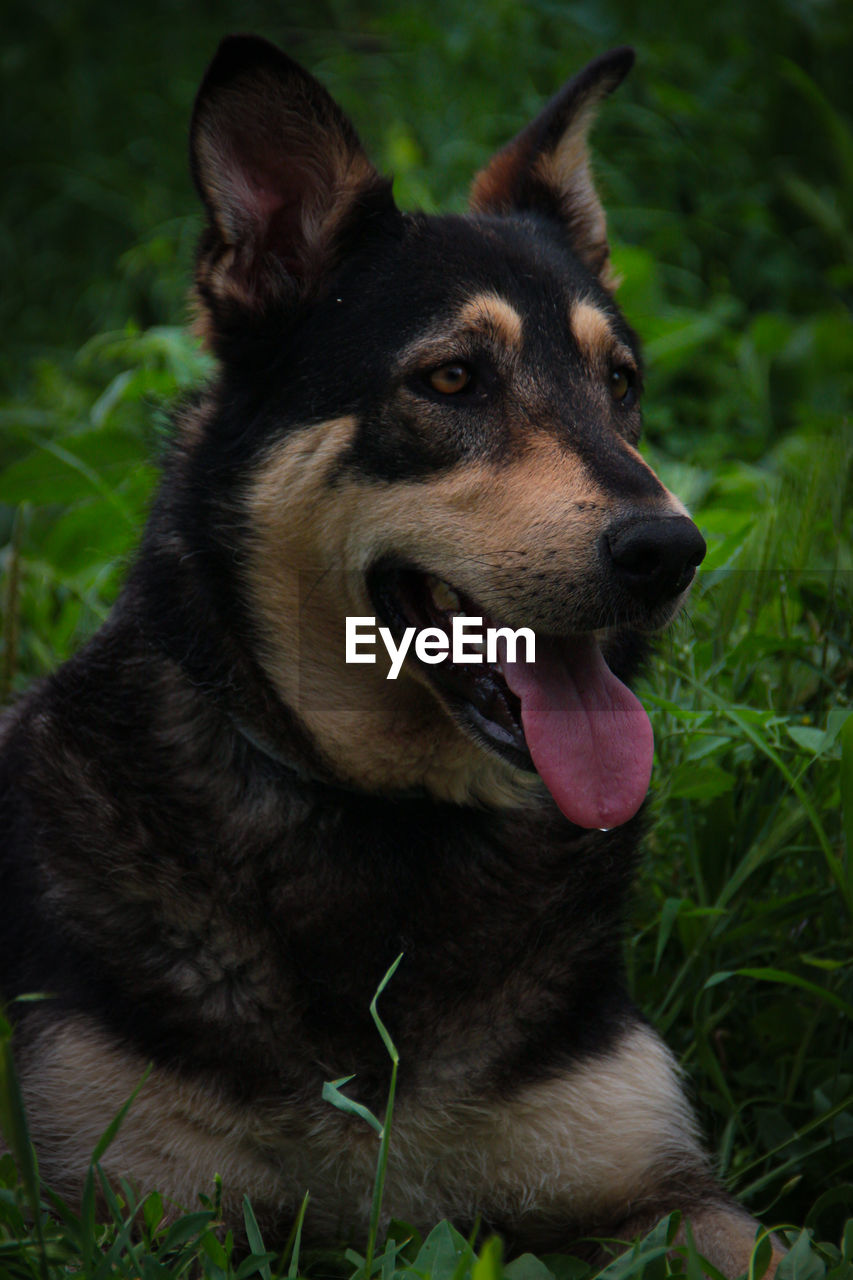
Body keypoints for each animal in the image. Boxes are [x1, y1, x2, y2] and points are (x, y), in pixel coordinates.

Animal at [0, 35, 778, 1274]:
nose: (671, 551)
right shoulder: (122, 1209)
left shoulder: (661, 1186)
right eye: (452, 378)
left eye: (621, 384)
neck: (395, 825)